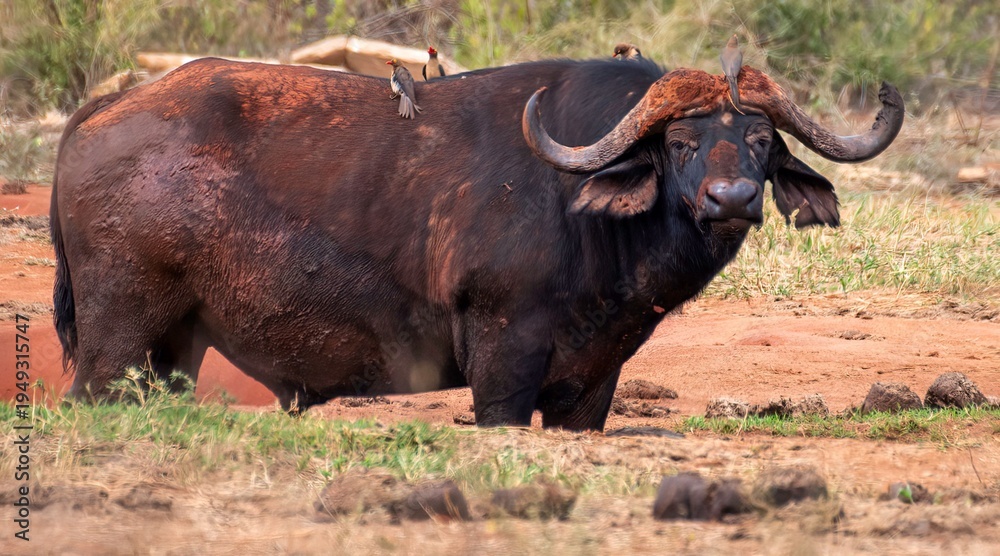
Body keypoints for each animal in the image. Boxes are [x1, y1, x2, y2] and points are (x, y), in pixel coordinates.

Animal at [51, 56, 903, 430]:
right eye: (682, 144)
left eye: (760, 141)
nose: (731, 201)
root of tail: (101, 113)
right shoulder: (501, 363)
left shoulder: (591, 384)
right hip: (115, 338)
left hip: (177, 348)